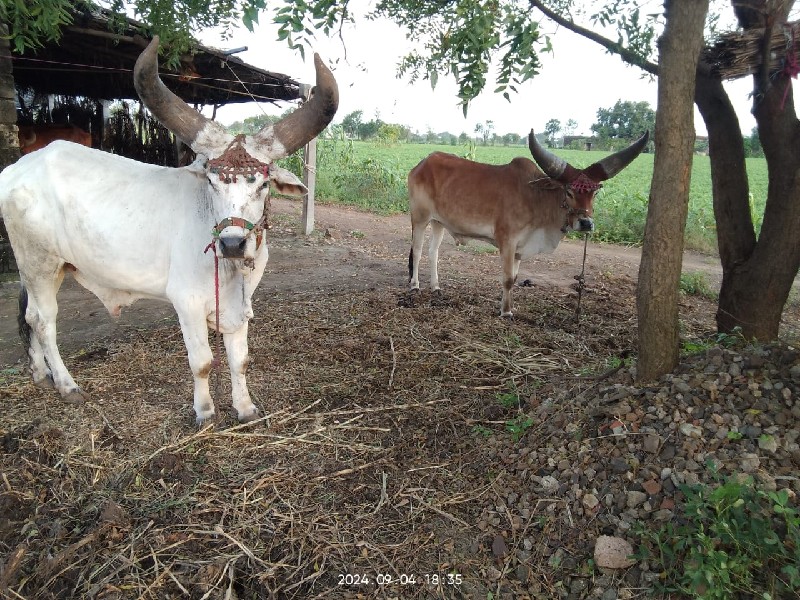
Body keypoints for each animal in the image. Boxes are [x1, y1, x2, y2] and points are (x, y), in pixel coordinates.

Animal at [0, 37, 340, 424]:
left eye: (264, 184)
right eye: (211, 181)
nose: (232, 244)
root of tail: (17, 168)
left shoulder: (241, 304)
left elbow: (240, 360)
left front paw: (245, 407)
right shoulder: (186, 302)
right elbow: (202, 362)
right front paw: (205, 412)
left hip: (49, 269)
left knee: (29, 315)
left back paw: (41, 374)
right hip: (38, 263)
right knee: (44, 320)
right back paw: (67, 385)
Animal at [406, 129, 648, 316]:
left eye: (594, 193)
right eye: (568, 191)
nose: (586, 223)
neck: (536, 197)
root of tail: (421, 164)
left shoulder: (520, 249)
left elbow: (514, 278)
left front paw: (510, 307)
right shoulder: (507, 241)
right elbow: (507, 279)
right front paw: (505, 313)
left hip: (439, 222)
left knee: (433, 252)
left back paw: (436, 287)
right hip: (420, 217)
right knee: (417, 250)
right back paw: (415, 286)